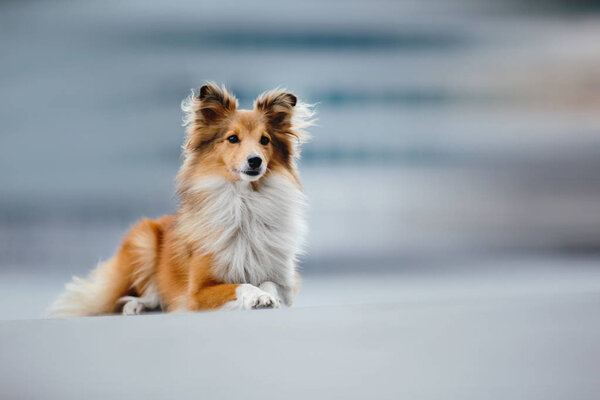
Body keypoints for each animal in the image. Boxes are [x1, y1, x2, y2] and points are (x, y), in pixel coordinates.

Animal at [47, 83, 314, 316]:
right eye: (232, 138)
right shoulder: (197, 292)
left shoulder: (285, 280)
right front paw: (257, 296)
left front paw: (267, 296)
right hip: (143, 241)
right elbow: (240, 284)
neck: (245, 202)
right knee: (143, 294)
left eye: (265, 140)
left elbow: (269, 283)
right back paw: (135, 306)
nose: (255, 161)